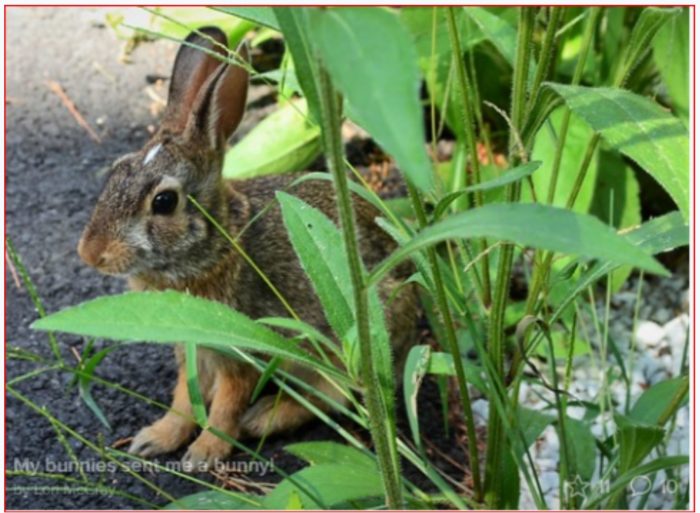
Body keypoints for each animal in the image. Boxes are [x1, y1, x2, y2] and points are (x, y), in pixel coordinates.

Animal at [78, 27, 416, 468]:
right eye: (116, 172)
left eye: (164, 202)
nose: (90, 253)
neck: (215, 245)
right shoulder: (193, 351)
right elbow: (183, 397)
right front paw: (156, 438)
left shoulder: (242, 350)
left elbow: (226, 403)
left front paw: (204, 453)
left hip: (349, 347)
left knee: (333, 396)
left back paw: (262, 419)